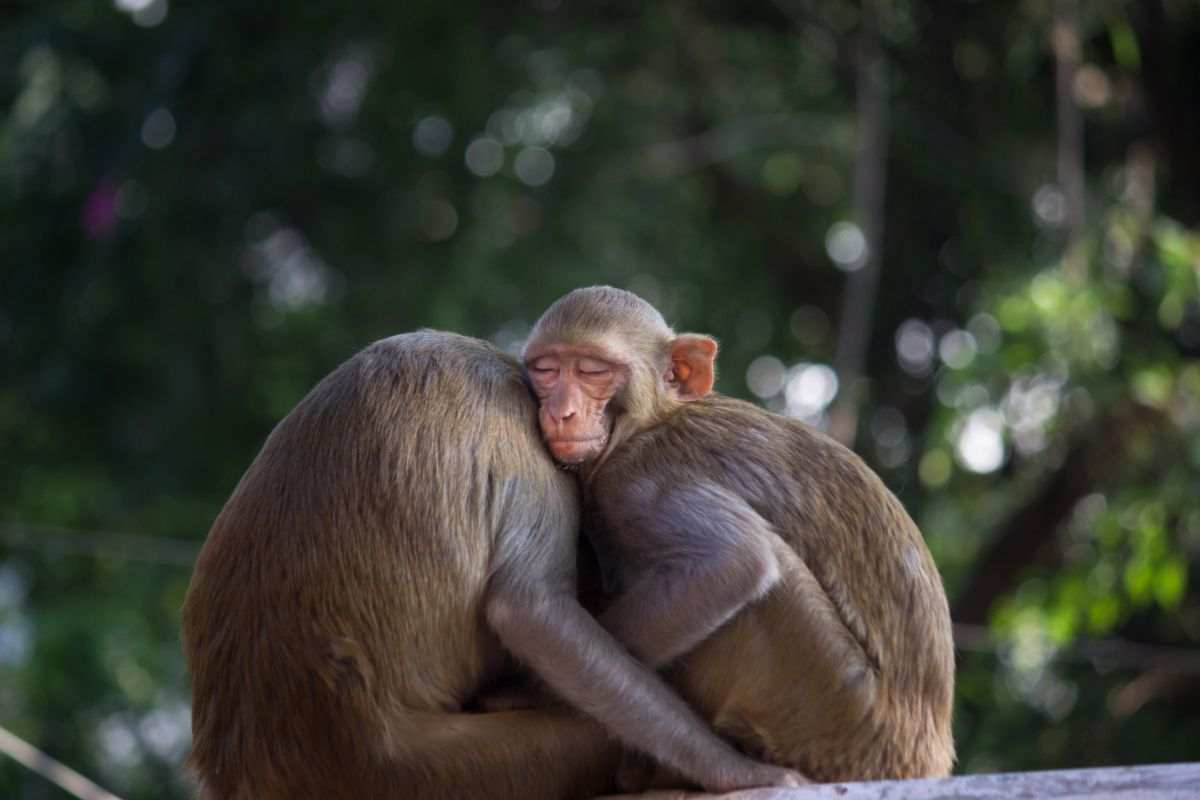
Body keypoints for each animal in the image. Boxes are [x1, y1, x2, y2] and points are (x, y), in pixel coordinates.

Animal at [180, 330, 802, 800]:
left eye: (589, 373)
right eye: (561, 373)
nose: (565, 413)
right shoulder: (525, 446)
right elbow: (530, 610)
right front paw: (734, 769)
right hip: (429, 774)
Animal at [521, 287, 956, 785]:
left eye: (593, 370)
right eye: (545, 369)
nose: (561, 412)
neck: (647, 423)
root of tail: (923, 760)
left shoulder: (637, 482)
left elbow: (735, 562)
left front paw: (524, 689)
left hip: (833, 707)